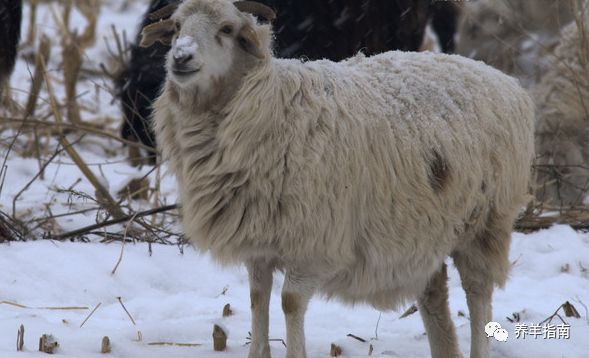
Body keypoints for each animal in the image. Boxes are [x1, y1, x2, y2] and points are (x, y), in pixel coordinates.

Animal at [140, 1, 536, 356]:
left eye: (226, 29)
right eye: (177, 27)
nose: (180, 57)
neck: (270, 105)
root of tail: (505, 81)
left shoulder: (315, 240)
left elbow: (290, 302)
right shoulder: (260, 241)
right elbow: (257, 298)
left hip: (485, 221)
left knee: (478, 291)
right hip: (426, 228)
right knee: (434, 294)